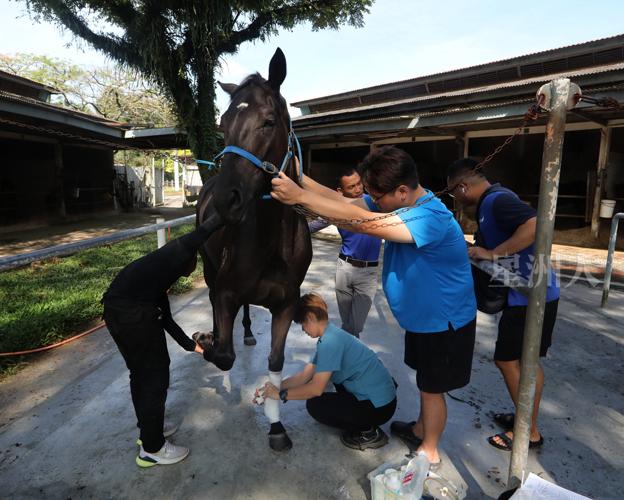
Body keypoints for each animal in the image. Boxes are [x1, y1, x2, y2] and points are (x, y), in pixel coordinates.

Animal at [195, 48, 312, 452]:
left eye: (269, 121)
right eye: (222, 124)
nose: (225, 201)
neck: (272, 243)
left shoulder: (287, 303)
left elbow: (276, 361)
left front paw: (276, 426)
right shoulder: (226, 290)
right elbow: (224, 355)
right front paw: (208, 342)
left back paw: (245, 330)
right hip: (209, 268)